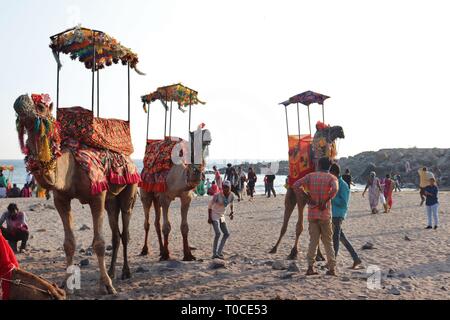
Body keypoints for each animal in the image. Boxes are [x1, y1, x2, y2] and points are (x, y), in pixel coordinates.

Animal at [14, 94, 139, 294]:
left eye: (41, 106)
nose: (20, 99)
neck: (70, 168)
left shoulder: (97, 195)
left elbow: (99, 243)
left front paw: (106, 285)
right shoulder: (61, 199)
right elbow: (69, 243)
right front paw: (65, 284)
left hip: (130, 188)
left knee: (125, 231)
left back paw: (125, 273)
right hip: (111, 201)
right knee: (115, 233)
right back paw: (112, 272)